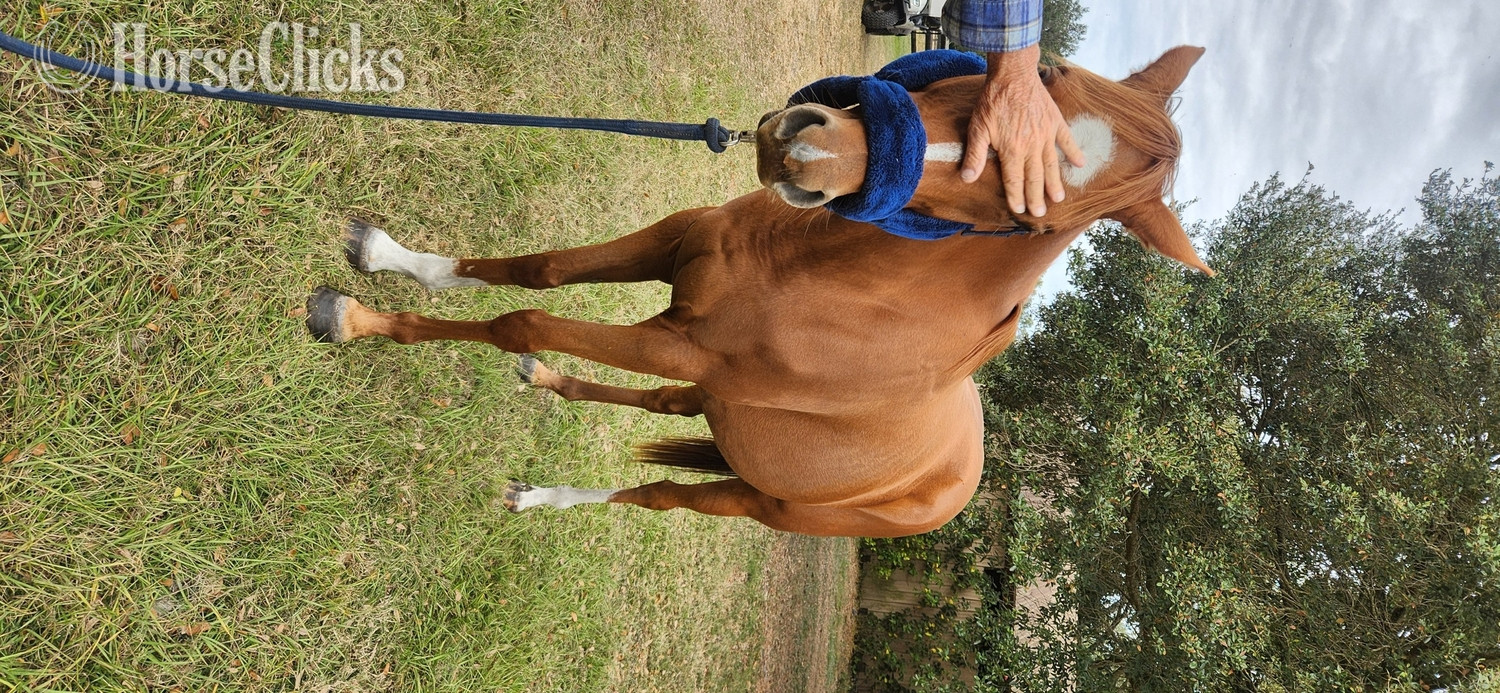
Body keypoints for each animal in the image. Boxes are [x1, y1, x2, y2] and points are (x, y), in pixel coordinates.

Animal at [305, 46, 1210, 538]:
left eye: (1022, 217)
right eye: (1044, 70)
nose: (803, 151)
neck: (816, 277)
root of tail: (955, 486)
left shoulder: (678, 341)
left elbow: (518, 318)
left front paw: (352, 317)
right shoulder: (674, 250)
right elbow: (541, 271)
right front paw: (385, 254)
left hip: (755, 499)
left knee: (658, 493)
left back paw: (540, 494)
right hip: (711, 401)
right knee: (658, 407)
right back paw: (550, 391)